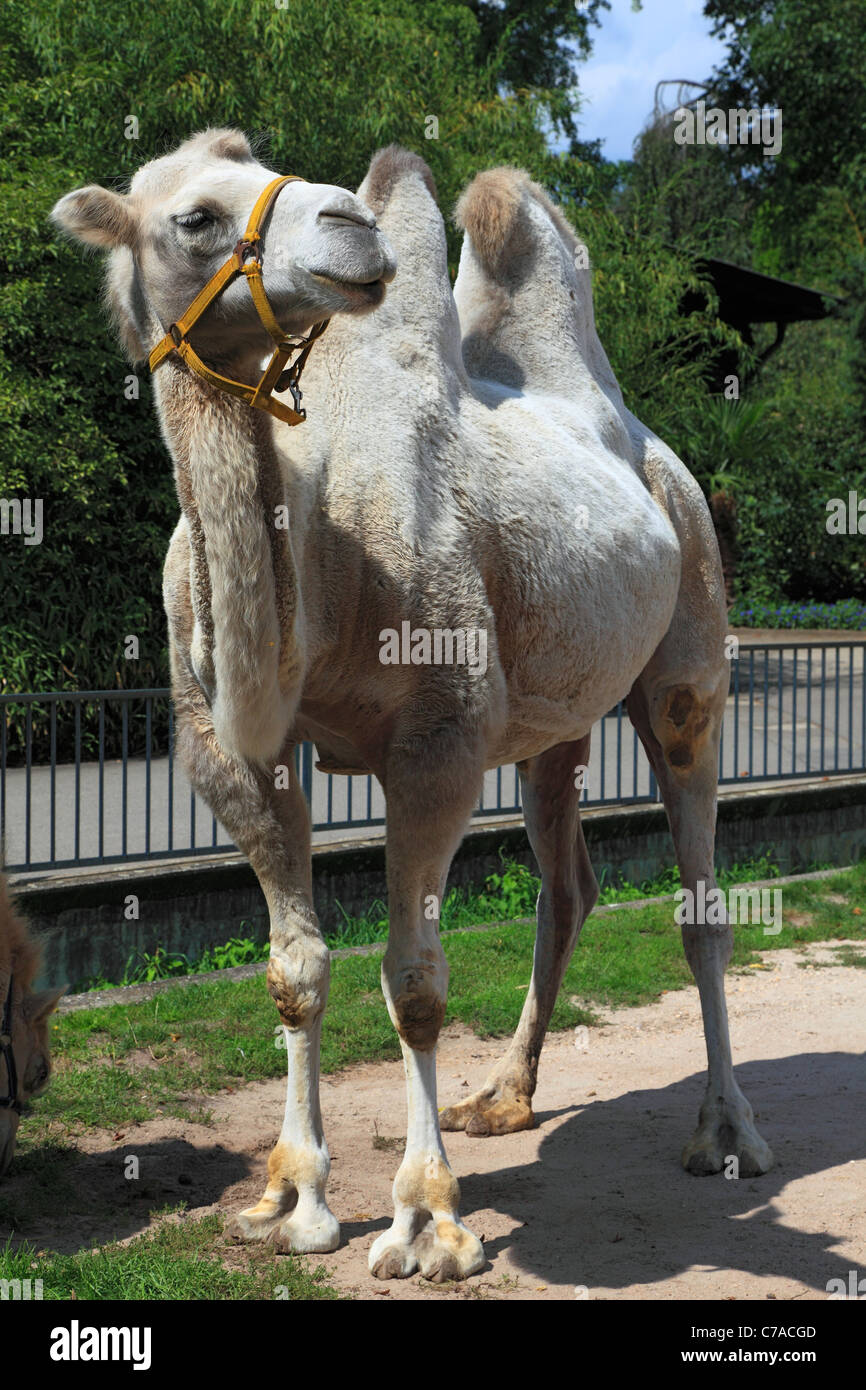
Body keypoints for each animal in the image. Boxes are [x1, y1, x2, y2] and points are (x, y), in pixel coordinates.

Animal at [52, 130, 772, 1278]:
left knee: (699, 894)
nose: (348, 226)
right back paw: (503, 1097)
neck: (326, 552)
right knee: (565, 883)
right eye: (195, 217)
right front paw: (289, 1199)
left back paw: (726, 1134)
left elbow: (415, 979)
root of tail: (659, 459)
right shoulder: (227, 751)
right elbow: (295, 969)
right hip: (553, 721)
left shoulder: (434, 745)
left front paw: (428, 1221)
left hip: (688, 647)